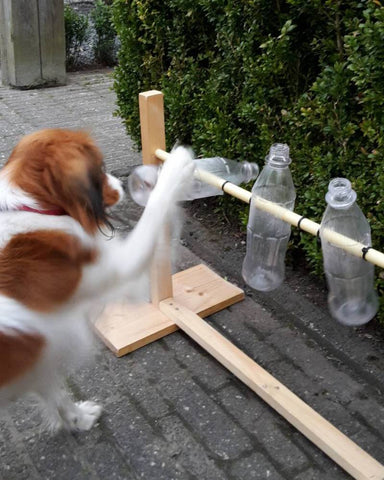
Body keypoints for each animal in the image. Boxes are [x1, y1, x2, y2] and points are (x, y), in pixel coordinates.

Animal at [0, 127, 194, 432]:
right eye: (100, 169)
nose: (122, 183)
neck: (29, 208)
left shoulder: (41, 349)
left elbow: (55, 393)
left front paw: (77, 419)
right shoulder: (119, 268)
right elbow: (155, 208)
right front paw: (177, 166)